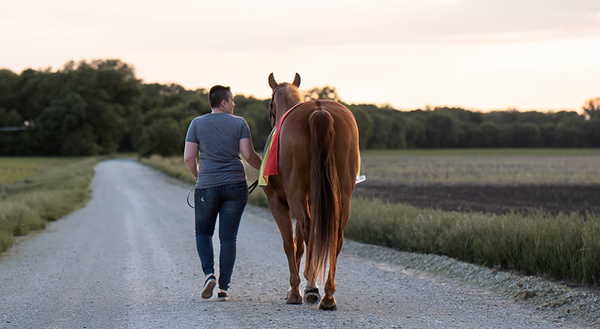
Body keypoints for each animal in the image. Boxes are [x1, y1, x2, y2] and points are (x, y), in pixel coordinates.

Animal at [264, 72, 358, 310]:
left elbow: (290, 243)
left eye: (270, 105)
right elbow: (301, 243)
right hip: (343, 195)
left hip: (296, 194)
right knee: (335, 235)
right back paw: (327, 295)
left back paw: (311, 288)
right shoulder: (312, 200)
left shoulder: (279, 201)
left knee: (306, 230)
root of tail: (319, 110)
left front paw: (294, 290)